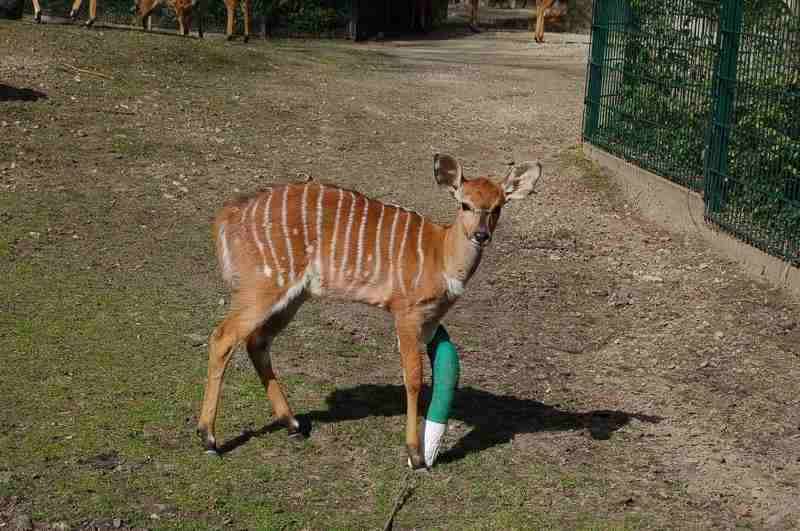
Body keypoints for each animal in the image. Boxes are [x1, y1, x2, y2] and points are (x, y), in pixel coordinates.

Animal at [196, 154, 540, 470]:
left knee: (257, 342)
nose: (481, 235)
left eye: (497, 207)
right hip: (262, 288)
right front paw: (415, 455)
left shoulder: (430, 321)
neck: (441, 255)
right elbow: (413, 378)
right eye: (465, 204)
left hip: (292, 296)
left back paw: (292, 425)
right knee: (222, 337)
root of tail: (227, 217)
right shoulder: (405, 313)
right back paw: (209, 439)